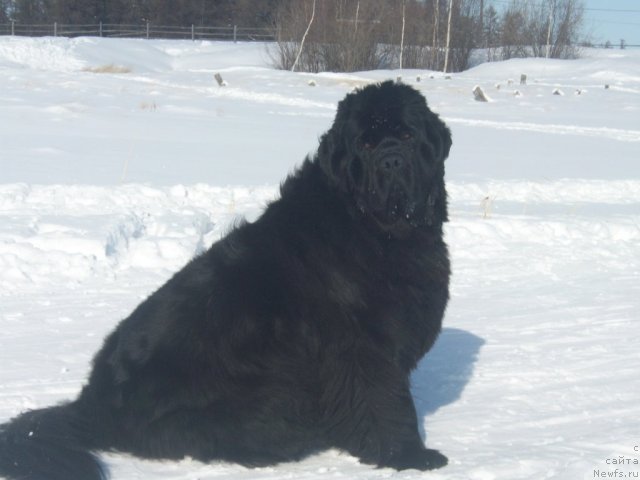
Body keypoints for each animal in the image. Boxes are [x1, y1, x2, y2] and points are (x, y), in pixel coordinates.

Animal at [0, 80, 452, 478]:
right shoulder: (361, 346)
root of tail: (88, 403)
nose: (392, 161)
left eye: (407, 136)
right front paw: (408, 456)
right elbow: (385, 402)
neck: (376, 229)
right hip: (264, 398)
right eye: (366, 145)